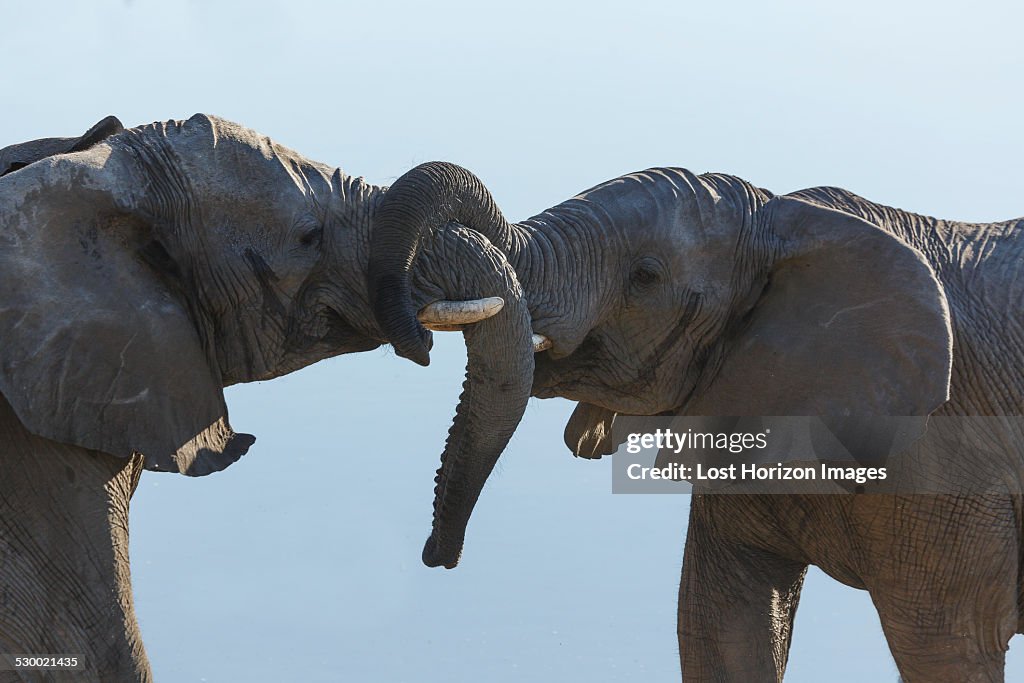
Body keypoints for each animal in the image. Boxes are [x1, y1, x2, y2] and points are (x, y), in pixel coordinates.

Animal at [364, 162, 1024, 679]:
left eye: (646, 276)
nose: (435, 556)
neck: (785, 220)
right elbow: (720, 627)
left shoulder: (951, 463)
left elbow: (943, 645)